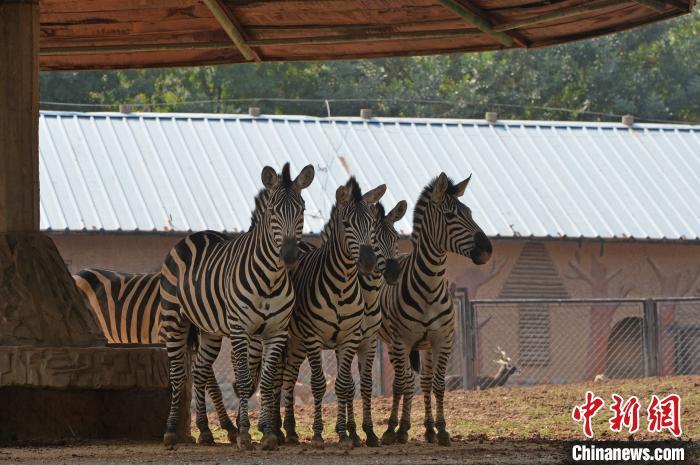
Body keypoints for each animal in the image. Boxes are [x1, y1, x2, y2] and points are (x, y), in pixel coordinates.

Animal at [160, 163, 314, 450]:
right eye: (273, 210)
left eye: (302, 209)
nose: (289, 256)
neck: (270, 278)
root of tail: (196, 234)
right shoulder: (241, 330)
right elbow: (244, 381)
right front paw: (244, 434)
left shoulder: (276, 331)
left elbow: (266, 381)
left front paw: (269, 435)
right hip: (173, 319)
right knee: (177, 374)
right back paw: (171, 432)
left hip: (210, 330)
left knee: (199, 371)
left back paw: (205, 432)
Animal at [278, 176, 386, 448]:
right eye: (346, 224)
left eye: (371, 225)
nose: (368, 263)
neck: (342, 284)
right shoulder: (314, 337)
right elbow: (318, 384)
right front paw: (318, 434)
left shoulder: (349, 338)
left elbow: (343, 384)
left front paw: (345, 434)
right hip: (289, 336)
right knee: (281, 379)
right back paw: (278, 430)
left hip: (297, 342)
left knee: (289, 377)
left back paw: (290, 430)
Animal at [378, 173, 492, 446]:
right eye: (451, 216)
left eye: (469, 212)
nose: (488, 250)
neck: (429, 287)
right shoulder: (402, 341)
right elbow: (404, 384)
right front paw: (398, 429)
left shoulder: (443, 340)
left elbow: (438, 385)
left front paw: (440, 430)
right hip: (392, 343)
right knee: (402, 382)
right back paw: (394, 428)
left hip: (425, 346)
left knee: (424, 381)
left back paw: (427, 429)